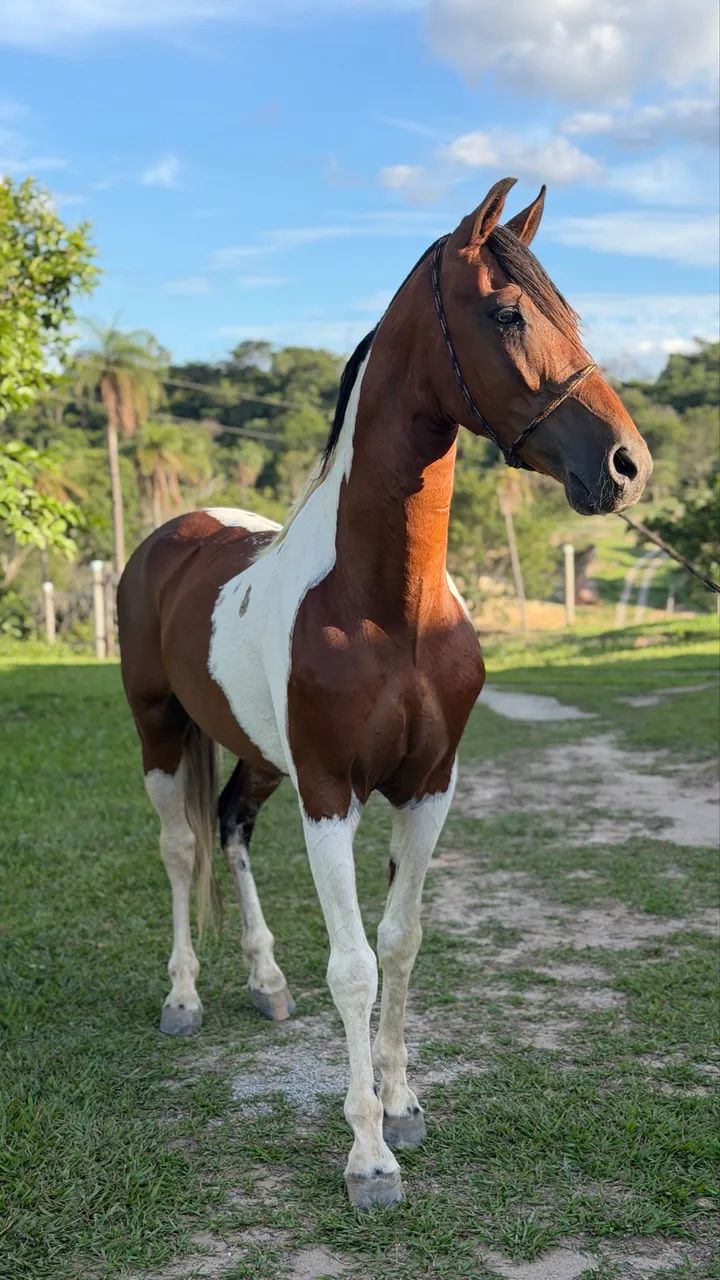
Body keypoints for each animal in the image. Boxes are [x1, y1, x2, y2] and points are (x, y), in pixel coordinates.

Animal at [117, 177, 652, 1209]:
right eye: (508, 312)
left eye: (569, 311)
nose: (627, 465)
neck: (388, 607)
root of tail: (173, 534)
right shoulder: (334, 795)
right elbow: (356, 966)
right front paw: (368, 1156)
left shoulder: (428, 785)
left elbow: (402, 942)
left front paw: (403, 1106)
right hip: (161, 732)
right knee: (179, 849)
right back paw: (182, 998)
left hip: (260, 756)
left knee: (232, 826)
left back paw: (266, 983)